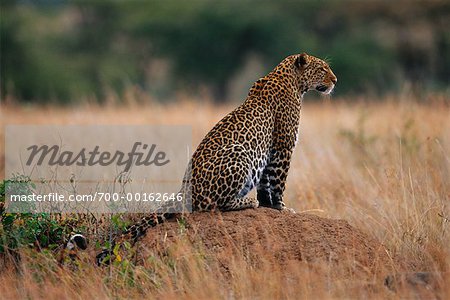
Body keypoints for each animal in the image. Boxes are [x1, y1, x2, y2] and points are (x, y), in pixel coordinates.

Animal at [93, 52, 336, 266]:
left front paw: (269, 206)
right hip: (240, 154)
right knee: (217, 205)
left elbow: (265, 183)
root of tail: (184, 191)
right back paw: (248, 202)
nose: (335, 80)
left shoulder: (269, 152)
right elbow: (278, 183)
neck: (292, 81)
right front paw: (281, 208)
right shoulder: (282, 148)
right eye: (322, 68)